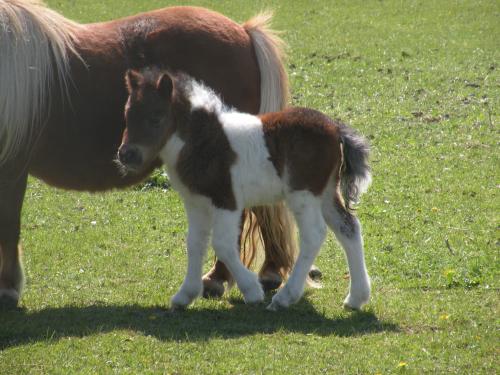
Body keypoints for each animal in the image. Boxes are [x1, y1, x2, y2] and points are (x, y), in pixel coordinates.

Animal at [117, 69, 372, 312]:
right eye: (127, 115)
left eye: (156, 117)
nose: (126, 155)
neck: (205, 142)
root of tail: (335, 128)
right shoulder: (196, 203)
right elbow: (195, 243)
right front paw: (184, 295)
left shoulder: (226, 201)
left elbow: (222, 244)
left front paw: (252, 291)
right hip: (326, 191)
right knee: (348, 228)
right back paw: (356, 298)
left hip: (303, 194)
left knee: (314, 234)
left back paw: (284, 298)